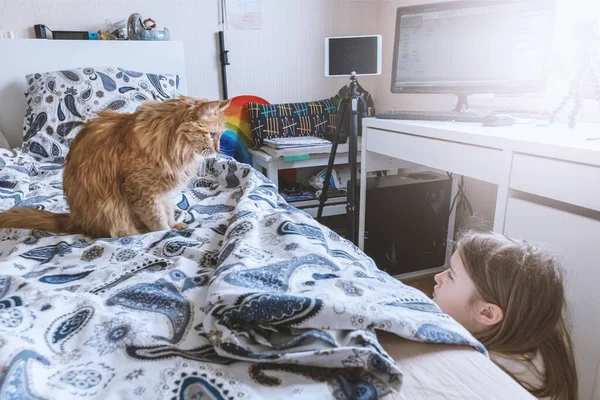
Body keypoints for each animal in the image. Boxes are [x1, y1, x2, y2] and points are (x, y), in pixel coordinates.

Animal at [0, 96, 230, 238]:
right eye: (211, 134)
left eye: (220, 135)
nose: (218, 149)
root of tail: (74, 219)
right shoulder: (143, 191)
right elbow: (157, 218)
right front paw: (166, 232)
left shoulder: (163, 192)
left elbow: (168, 210)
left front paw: (174, 225)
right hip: (111, 210)